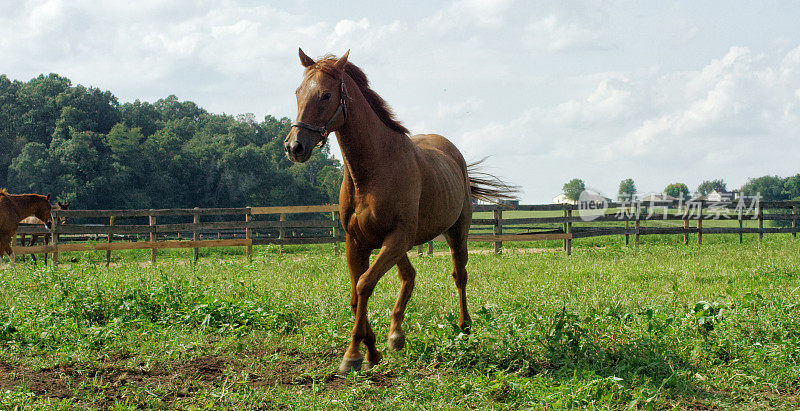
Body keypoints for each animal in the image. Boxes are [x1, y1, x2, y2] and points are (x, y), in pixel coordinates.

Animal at [284, 49, 516, 374]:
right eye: (298, 91)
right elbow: (356, 295)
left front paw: (353, 354)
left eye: (326, 94)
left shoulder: (395, 238)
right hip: (400, 245)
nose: (294, 147)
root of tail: (452, 154)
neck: (372, 172)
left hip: (454, 234)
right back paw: (396, 335)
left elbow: (365, 285)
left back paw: (464, 328)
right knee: (410, 276)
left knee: (459, 276)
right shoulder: (357, 242)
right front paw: (372, 351)